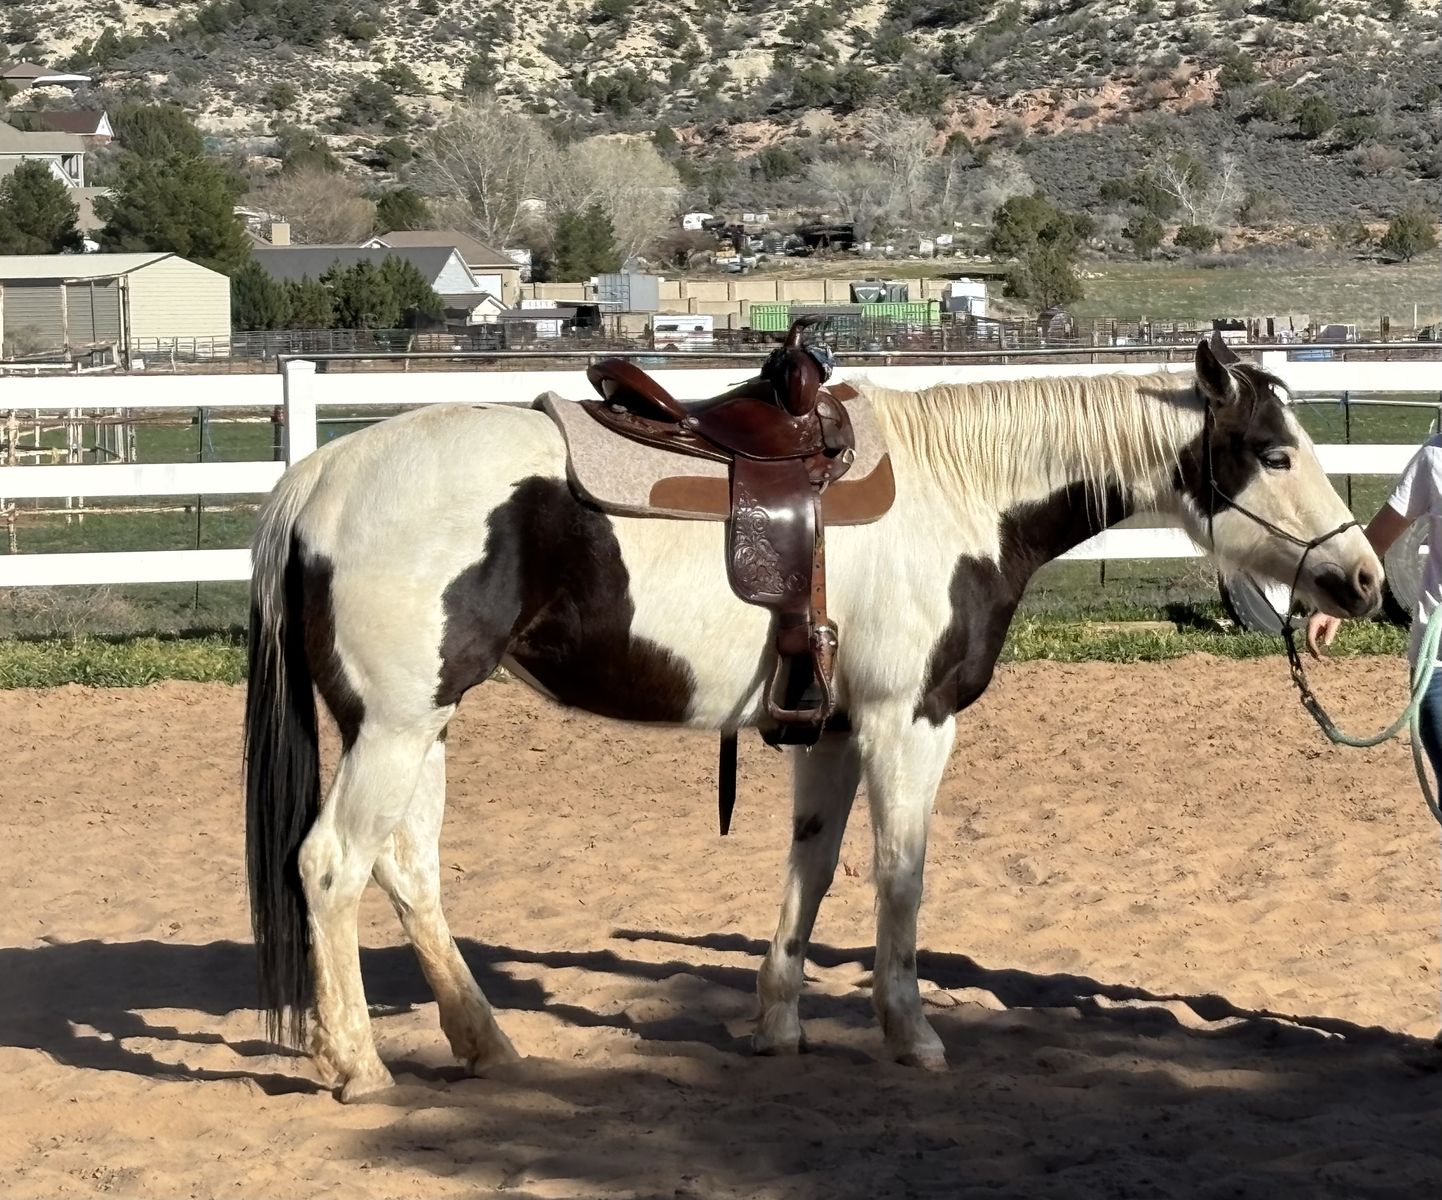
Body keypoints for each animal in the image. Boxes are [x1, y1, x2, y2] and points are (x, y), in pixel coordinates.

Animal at [244, 337, 1382, 1101]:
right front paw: (910, 1034)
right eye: (1273, 453)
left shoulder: (828, 729)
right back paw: (358, 1066)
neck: (960, 494)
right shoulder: (908, 723)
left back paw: (484, 1043)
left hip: (412, 726)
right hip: (395, 728)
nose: (1363, 578)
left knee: (406, 872)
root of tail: (320, 477)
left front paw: (778, 1024)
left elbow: (813, 867)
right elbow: (899, 878)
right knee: (332, 867)